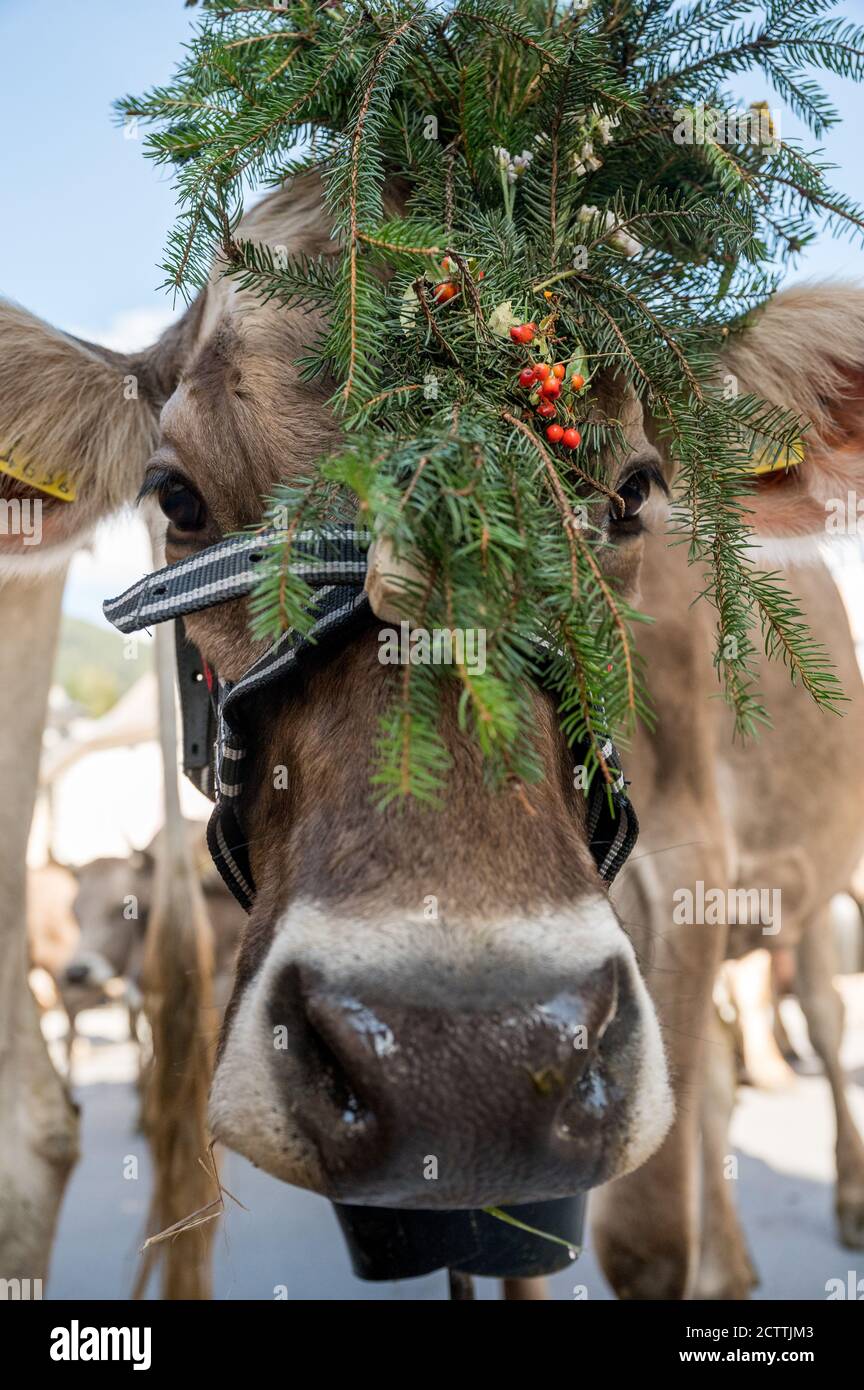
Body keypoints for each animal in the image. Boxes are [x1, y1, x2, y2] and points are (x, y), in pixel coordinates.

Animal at [2, 175, 864, 1295]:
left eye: (632, 492)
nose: (459, 1061)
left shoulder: (690, 871)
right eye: (176, 497)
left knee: (818, 1021)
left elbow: (644, 1239)